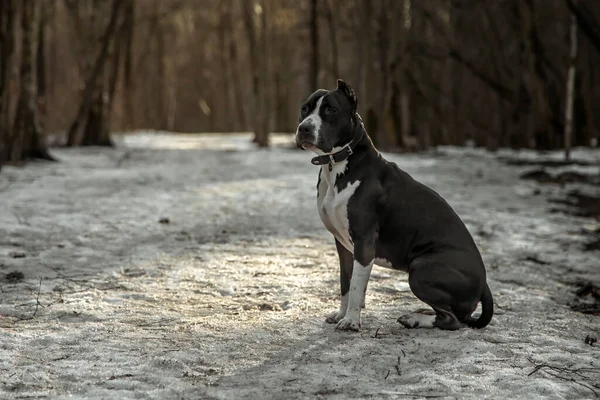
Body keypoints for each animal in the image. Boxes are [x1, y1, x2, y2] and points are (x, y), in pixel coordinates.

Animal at [294, 79, 492, 332]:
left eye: (331, 110)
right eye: (305, 109)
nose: (304, 128)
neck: (337, 165)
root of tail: (484, 283)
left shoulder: (364, 242)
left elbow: (356, 286)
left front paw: (351, 321)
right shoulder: (343, 246)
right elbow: (346, 282)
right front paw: (341, 314)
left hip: (421, 268)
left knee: (453, 320)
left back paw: (414, 319)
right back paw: (420, 313)